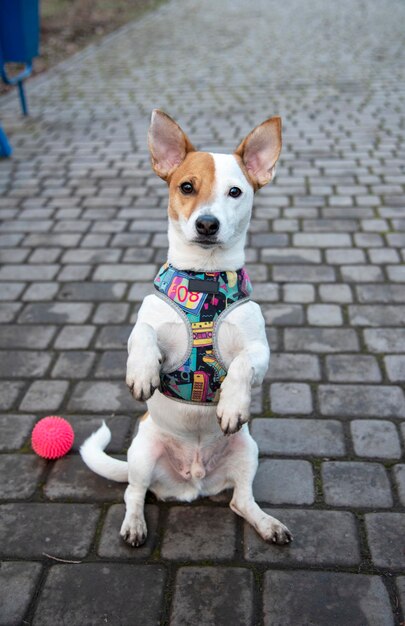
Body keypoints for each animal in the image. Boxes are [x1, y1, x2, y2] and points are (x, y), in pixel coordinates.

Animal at [80, 111, 292, 544]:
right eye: (187, 187)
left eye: (235, 192)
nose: (207, 223)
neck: (204, 280)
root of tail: (191, 480)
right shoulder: (143, 324)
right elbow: (144, 335)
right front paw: (143, 372)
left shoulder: (260, 350)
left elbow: (242, 365)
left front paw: (231, 403)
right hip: (142, 455)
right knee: (134, 493)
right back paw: (134, 525)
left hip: (247, 449)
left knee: (240, 501)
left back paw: (267, 524)